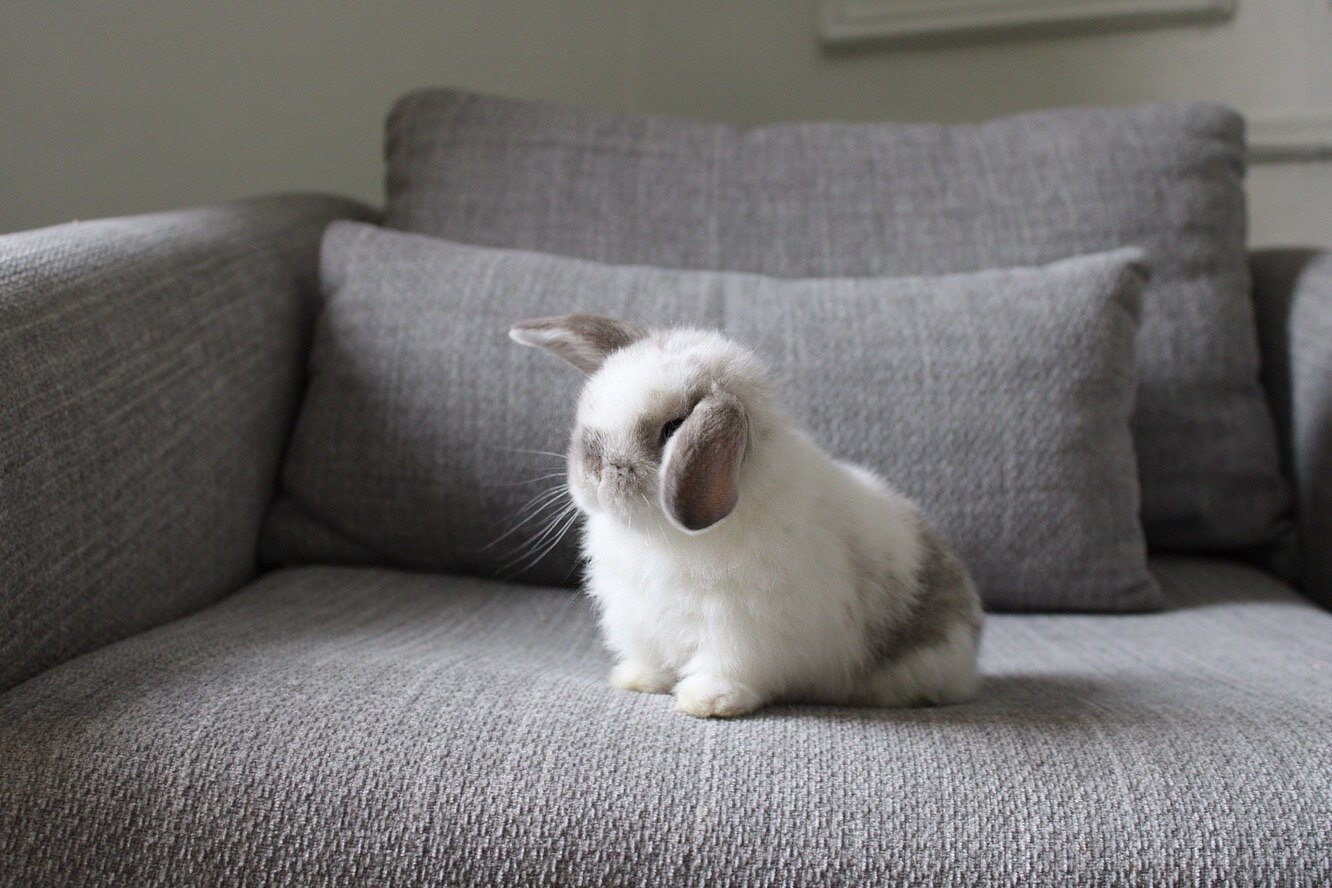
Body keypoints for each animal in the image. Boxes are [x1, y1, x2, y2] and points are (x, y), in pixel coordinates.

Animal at [509, 314, 983, 718]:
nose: (593, 472)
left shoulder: (740, 629)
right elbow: (651, 660)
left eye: (672, 430)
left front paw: (707, 702)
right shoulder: (639, 620)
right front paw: (635, 681)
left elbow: (729, 668)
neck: (663, 534)